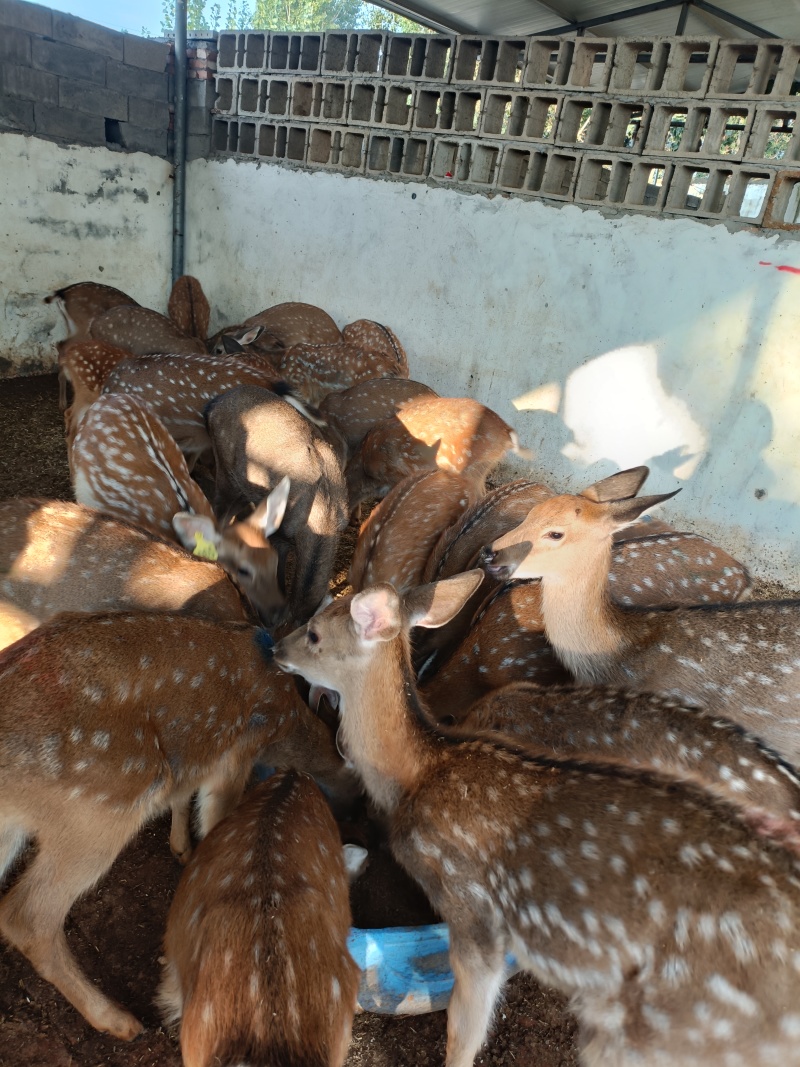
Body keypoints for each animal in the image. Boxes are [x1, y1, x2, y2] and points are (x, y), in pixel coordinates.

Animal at [0, 609, 354, 1040]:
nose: (355, 814)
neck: (286, 719)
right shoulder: (238, 750)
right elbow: (216, 813)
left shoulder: (193, 758)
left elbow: (183, 793)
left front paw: (182, 848)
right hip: (101, 806)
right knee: (27, 917)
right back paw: (119, 1020)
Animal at [206, 384, 349, 623]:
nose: (270, 618)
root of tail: (212, 405)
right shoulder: (280, 535)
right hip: (225, 474)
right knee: (219, 511)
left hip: (244, 487)